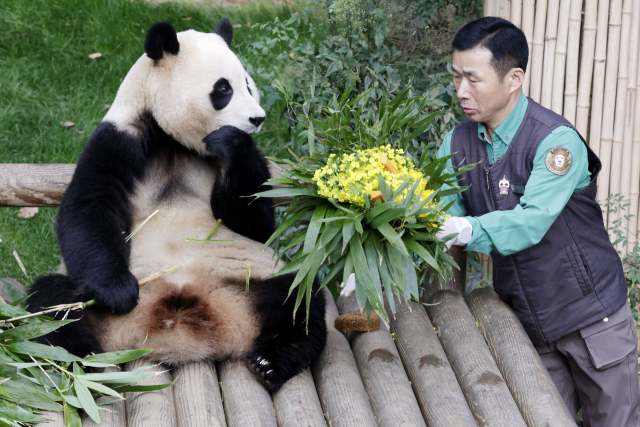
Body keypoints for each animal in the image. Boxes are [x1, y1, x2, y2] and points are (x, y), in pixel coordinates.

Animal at [26, 18, 324, 392]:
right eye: (223, 89)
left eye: (247, 84)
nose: (257, 118)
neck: (174, 141)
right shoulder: (120, 138)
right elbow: (90, 206)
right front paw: (118, 290)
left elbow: (256, 222)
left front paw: (232, 140)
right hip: (88, 298)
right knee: (51, 305)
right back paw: (87, 363)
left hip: (250, 279)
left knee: (299, 294)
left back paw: (269, 362)